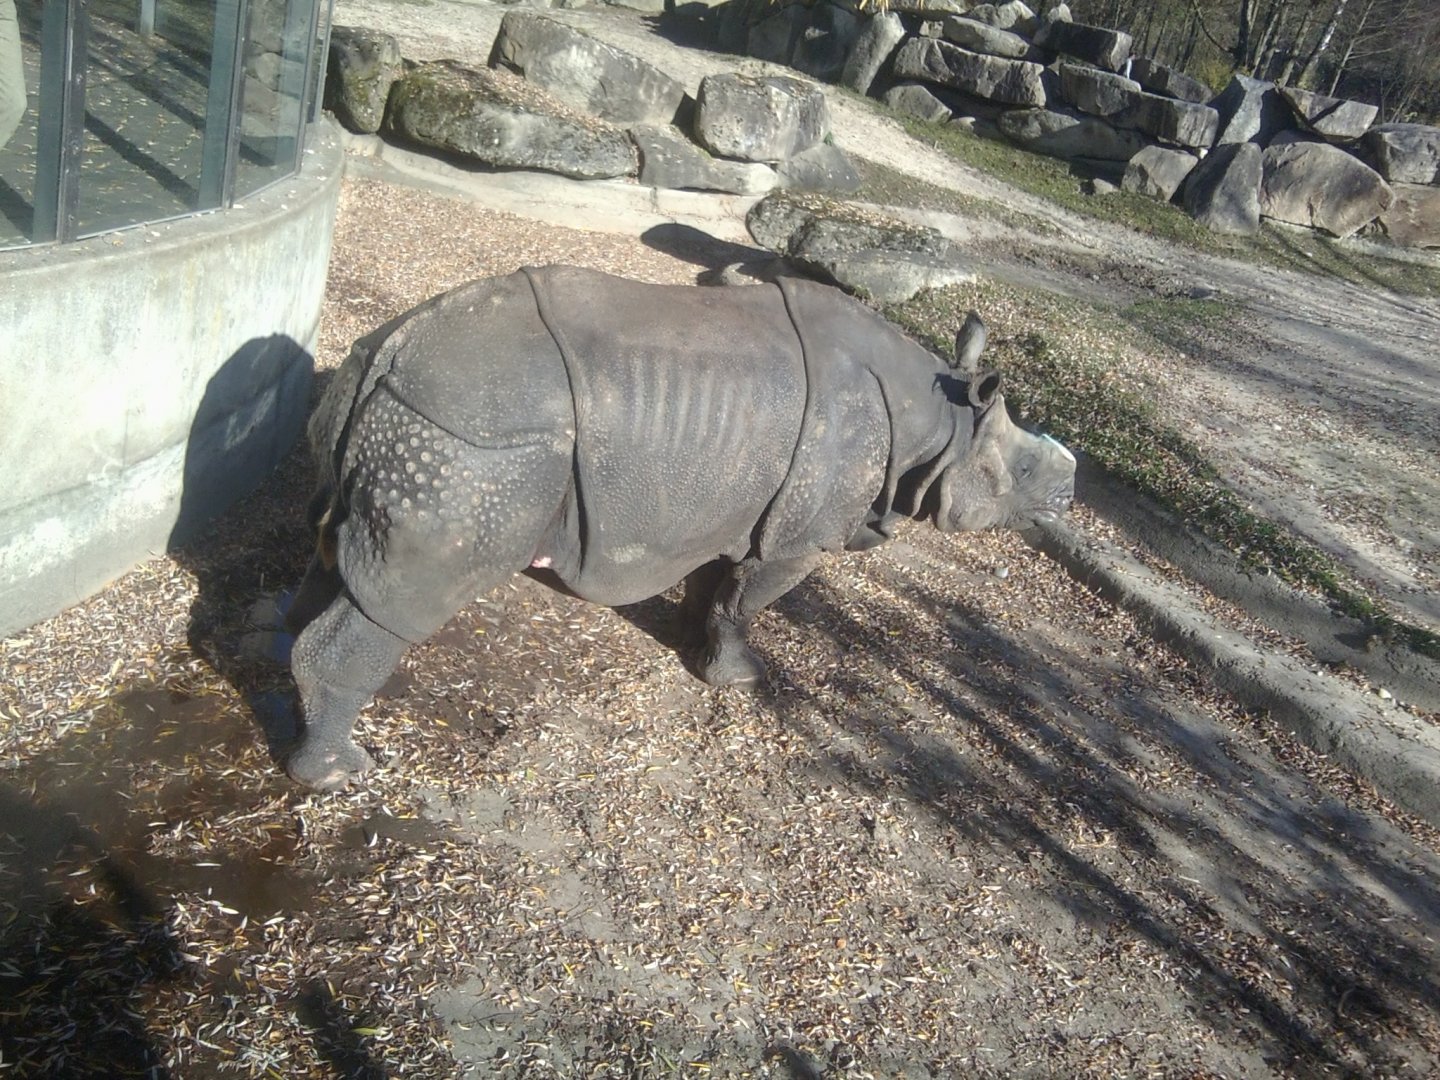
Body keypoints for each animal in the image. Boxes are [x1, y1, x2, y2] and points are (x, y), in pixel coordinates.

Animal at [283, 265, 1075, 790]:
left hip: (405, 413)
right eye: (1024, 470)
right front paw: (740, 679)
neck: (939, 421)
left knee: (343, 561)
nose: (1069, 492)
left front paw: (694, 651)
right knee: (403, 603)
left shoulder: (731, 500)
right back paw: (337, 776)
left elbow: (713, 586)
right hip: (472, 445)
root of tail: (392, 350)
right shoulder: (800, 534)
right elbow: (747, 600)